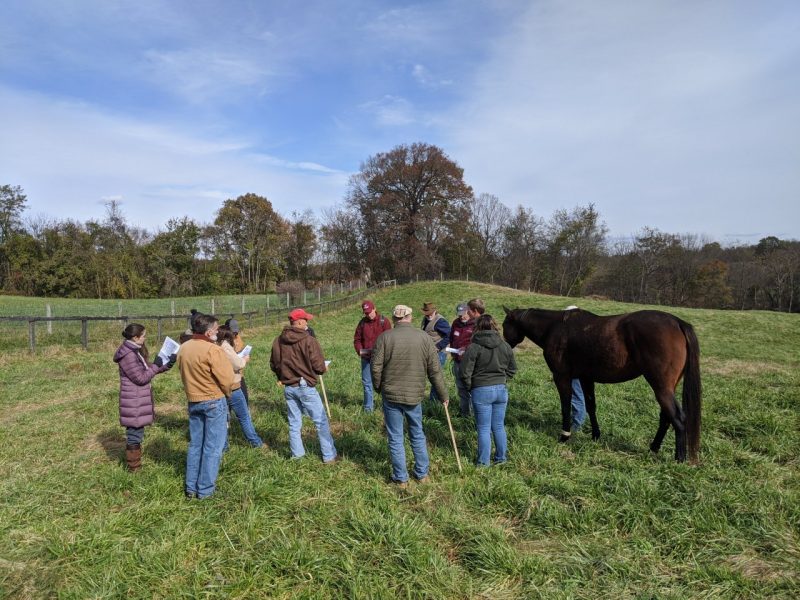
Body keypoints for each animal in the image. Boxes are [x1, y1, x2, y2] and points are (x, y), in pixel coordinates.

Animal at [506, 308, 700, 462]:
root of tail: (678, 322)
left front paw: (564, 435)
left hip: (661, 387)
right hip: (667, 388)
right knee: (666, 418)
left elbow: (565, 405)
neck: (555, 327)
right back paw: (653, 448)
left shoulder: (561, 377)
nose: (506, 344)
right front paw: (595, 435)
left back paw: (679, 458)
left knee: (678, 418)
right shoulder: (586, 378)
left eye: (505, 324)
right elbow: (591, 406)